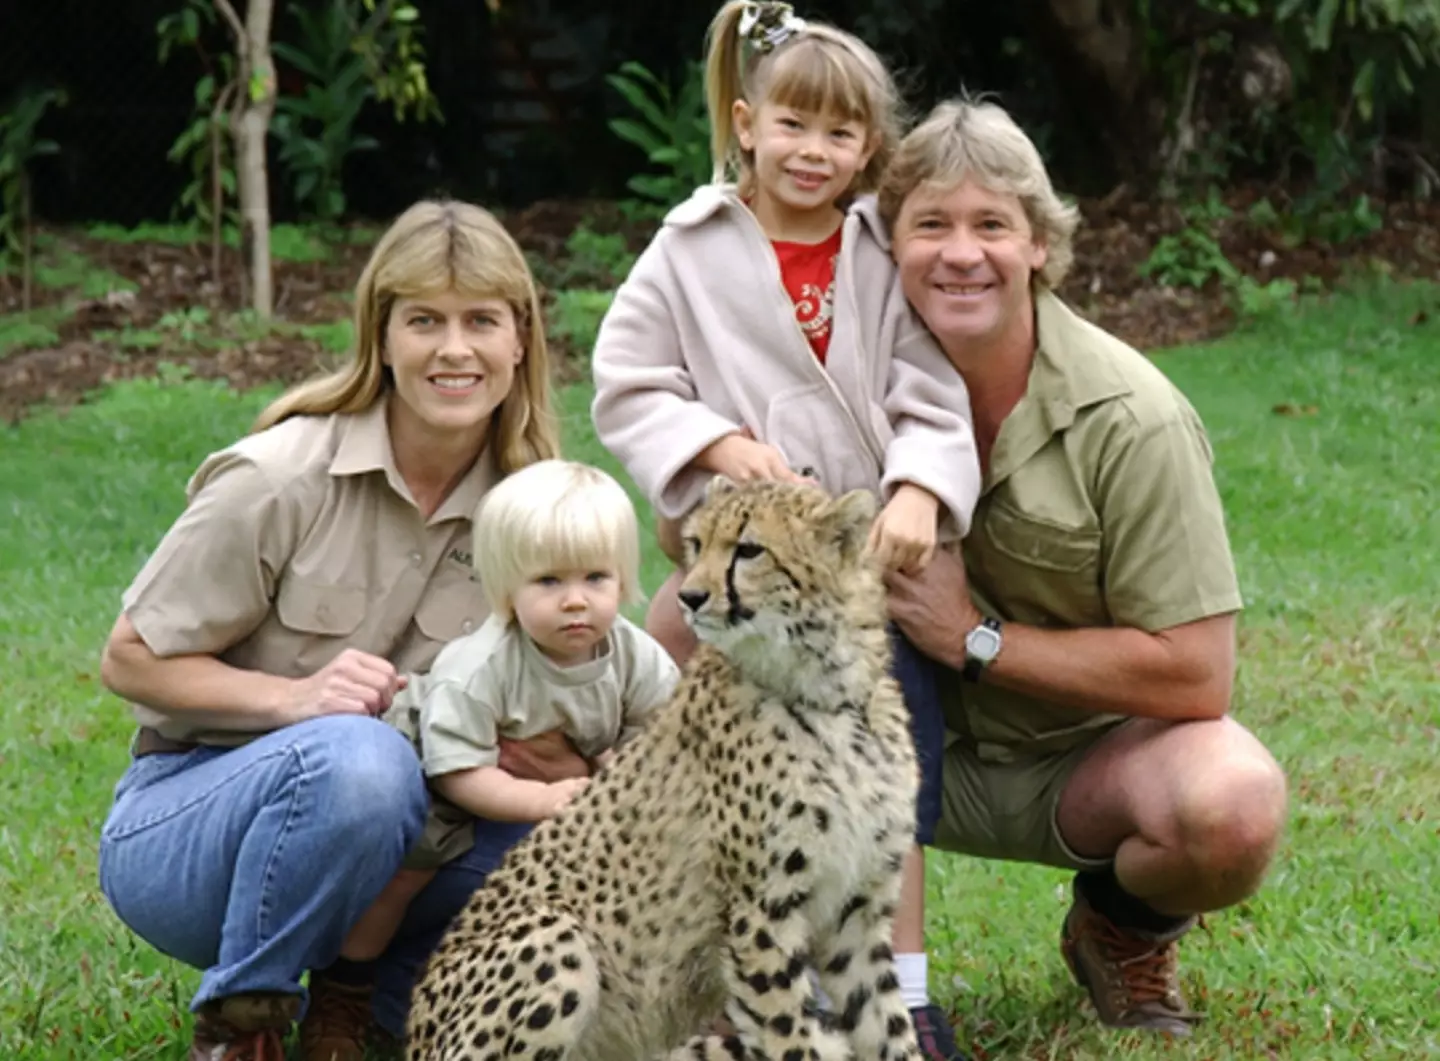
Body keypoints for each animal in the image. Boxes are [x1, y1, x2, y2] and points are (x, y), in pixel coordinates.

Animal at [406, 475, 921, 1059]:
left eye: (749, 550)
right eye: (697, 543)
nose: (689, 597)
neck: (832, 697)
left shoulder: (854, 913)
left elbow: (887, 1027)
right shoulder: (759, 915)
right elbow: (788, 1038)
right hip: (554, 935)